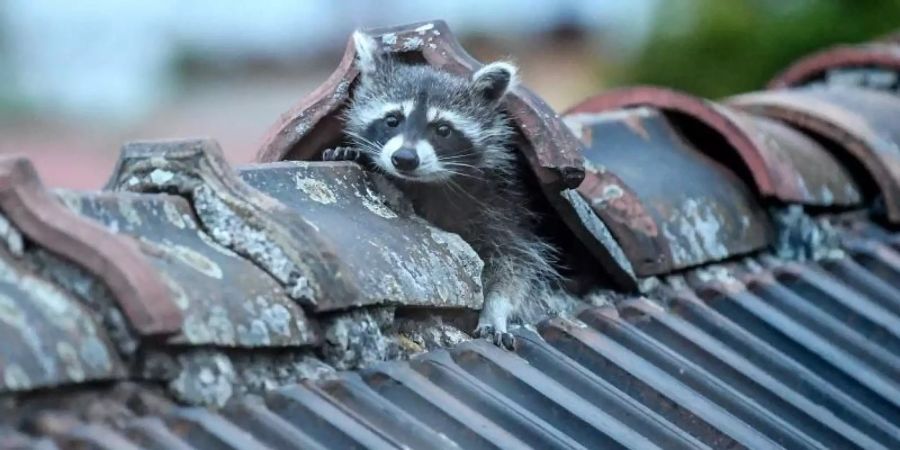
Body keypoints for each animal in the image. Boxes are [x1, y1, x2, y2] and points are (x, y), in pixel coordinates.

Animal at [326, 31, 572, 348]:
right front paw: (351, 152)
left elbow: (515, 263)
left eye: (443, 129)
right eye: (392, 120)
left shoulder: (502, 203)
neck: (425, 182)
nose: (405, 158)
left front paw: (495, 309)